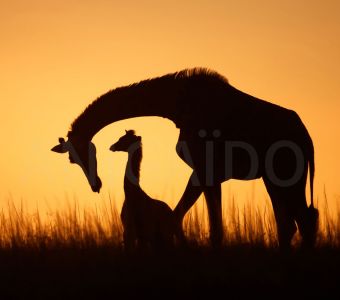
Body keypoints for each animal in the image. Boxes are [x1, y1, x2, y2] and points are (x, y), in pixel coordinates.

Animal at [52, 68, 318, 251]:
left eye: (73, 158)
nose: (95, 185)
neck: (176, 106)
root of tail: (307, 139)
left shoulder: (205, 169)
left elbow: (201, 224)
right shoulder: (207, 173)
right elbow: (198, 222)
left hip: (287, 175)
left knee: (303, 220)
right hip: (275, 179)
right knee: (290, 224)